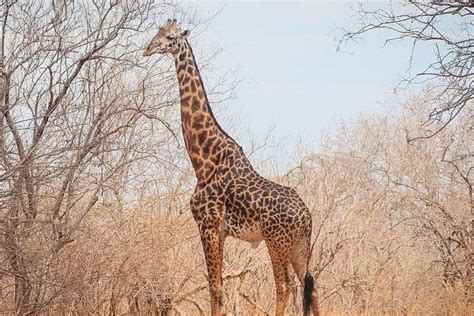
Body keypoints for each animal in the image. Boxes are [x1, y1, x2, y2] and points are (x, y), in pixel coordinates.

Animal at [141, 19, 318, 316]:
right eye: (157, 33)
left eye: (171, 37)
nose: (147, 49)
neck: (203, 159)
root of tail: (306, 216)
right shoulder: (220, 231)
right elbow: (218, 285)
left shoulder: (208, 225)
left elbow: (214, 287)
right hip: (300, 246)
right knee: (311, 286)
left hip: (277, 241)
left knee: (284, 286)